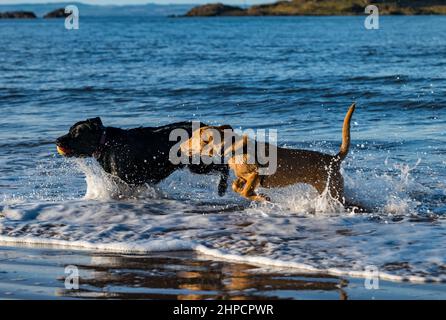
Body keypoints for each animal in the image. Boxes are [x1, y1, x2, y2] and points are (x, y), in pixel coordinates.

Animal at [55, 118, 228, 195]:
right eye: (70, 130)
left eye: (76, 133)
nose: (57, 140)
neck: (105, 143)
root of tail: (205, 127)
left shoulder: (128, 180)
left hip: (197, 163)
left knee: (224, 166)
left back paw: (222, 188)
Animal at [180, 103, 356, 202]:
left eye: (192, 138)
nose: (180, 146)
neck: (232, 148)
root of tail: (333, 158)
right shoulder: (245, 176)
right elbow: (236, 186)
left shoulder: (256, 173)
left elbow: (245, 191)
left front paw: (260, 197)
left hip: (333, 188)